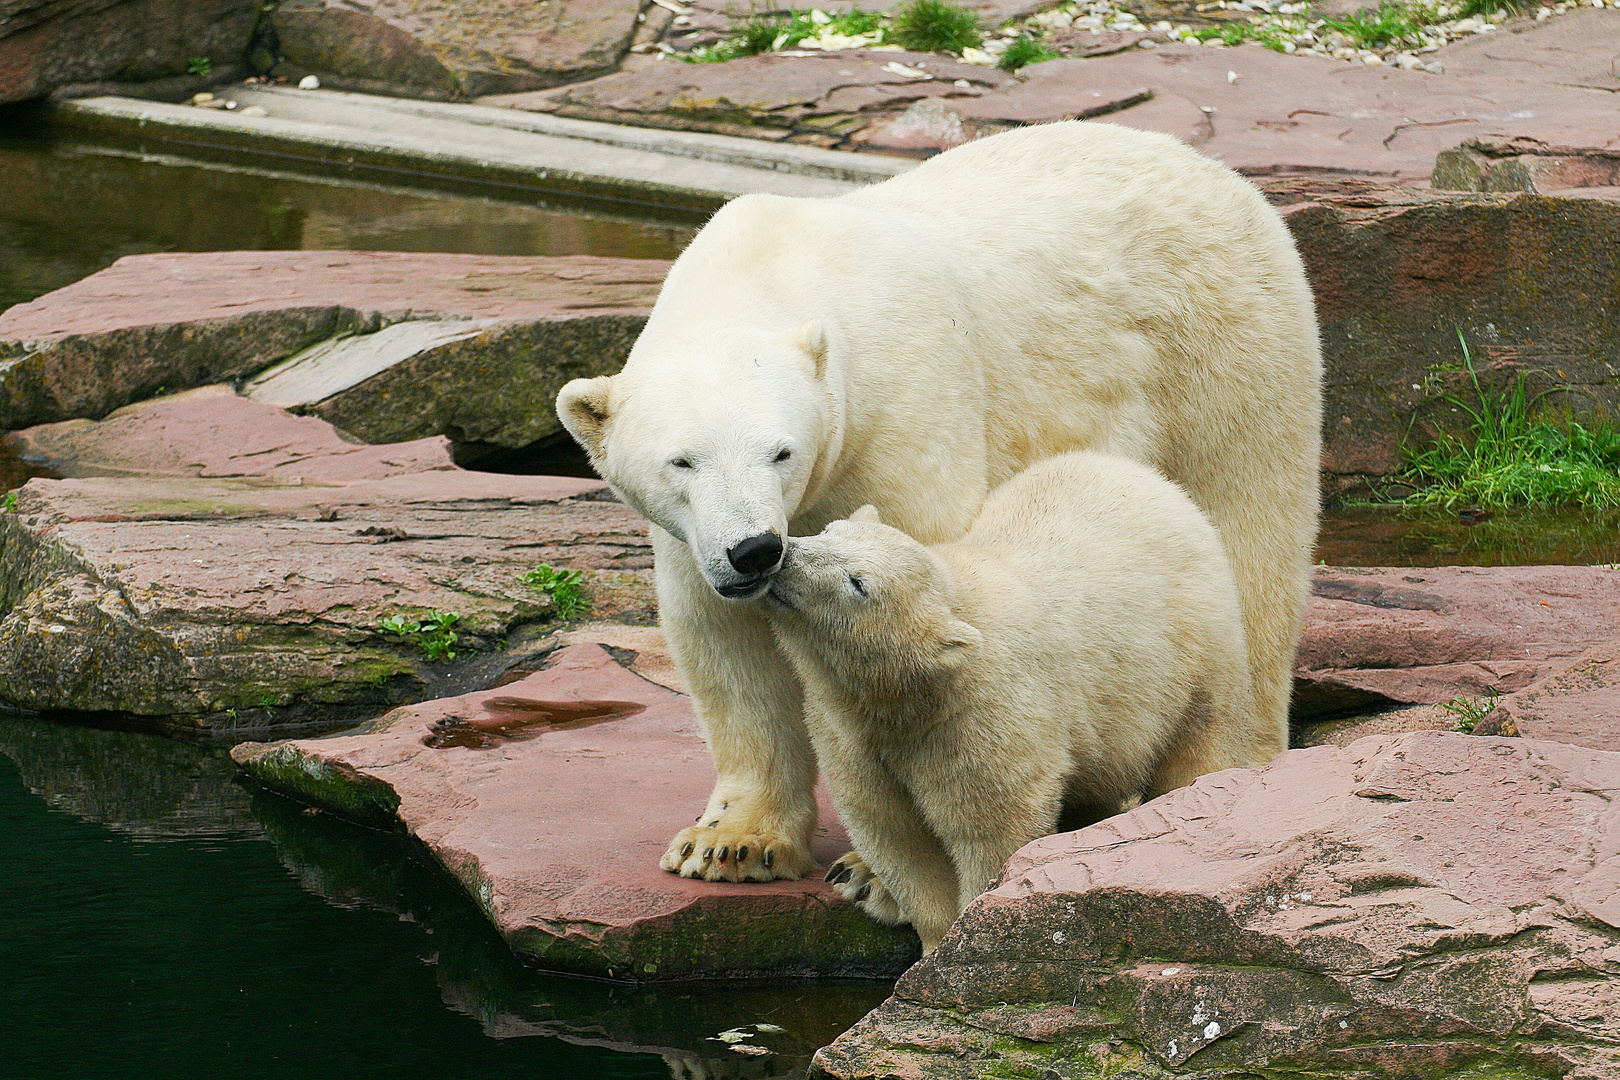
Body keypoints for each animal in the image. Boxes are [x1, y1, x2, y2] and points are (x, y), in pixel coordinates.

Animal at [554, 118, 1315, 880]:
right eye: (682, 461)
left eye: (781, 451)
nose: (755, 550)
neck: (767, 271)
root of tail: (1207, 167)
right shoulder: (694, 537)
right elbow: (726, 646)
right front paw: (731, 842)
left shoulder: (899, 407)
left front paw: (868, 870)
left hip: (1219, 346)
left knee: (1251, 537)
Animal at [764, 453, 1257, 952]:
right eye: (829, 531)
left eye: (858, 583)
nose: (785, 557)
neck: (907, 693)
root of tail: (1157, 481)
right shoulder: (848, 728)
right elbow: (897, 835)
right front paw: (934, 939)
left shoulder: (980, 716)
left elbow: (990, 828)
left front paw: (967, 937)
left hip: (1195, 648)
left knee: (1199, 740)